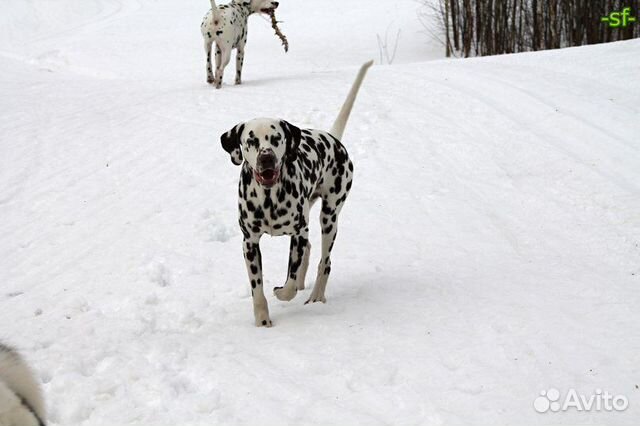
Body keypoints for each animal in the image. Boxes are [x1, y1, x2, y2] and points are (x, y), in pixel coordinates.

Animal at [220, 60, 372, 326]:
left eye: (276, 138)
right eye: (251, 140)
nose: (266, 158)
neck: (269, 199)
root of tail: (332, 137)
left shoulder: (298, 233)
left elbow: (290, 278)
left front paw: (283, 292)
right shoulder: (250, 243)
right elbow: (257, 288)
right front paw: (262, 320)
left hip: (329, 217)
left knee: (324, 260)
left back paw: (316, 296)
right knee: (310, 250)